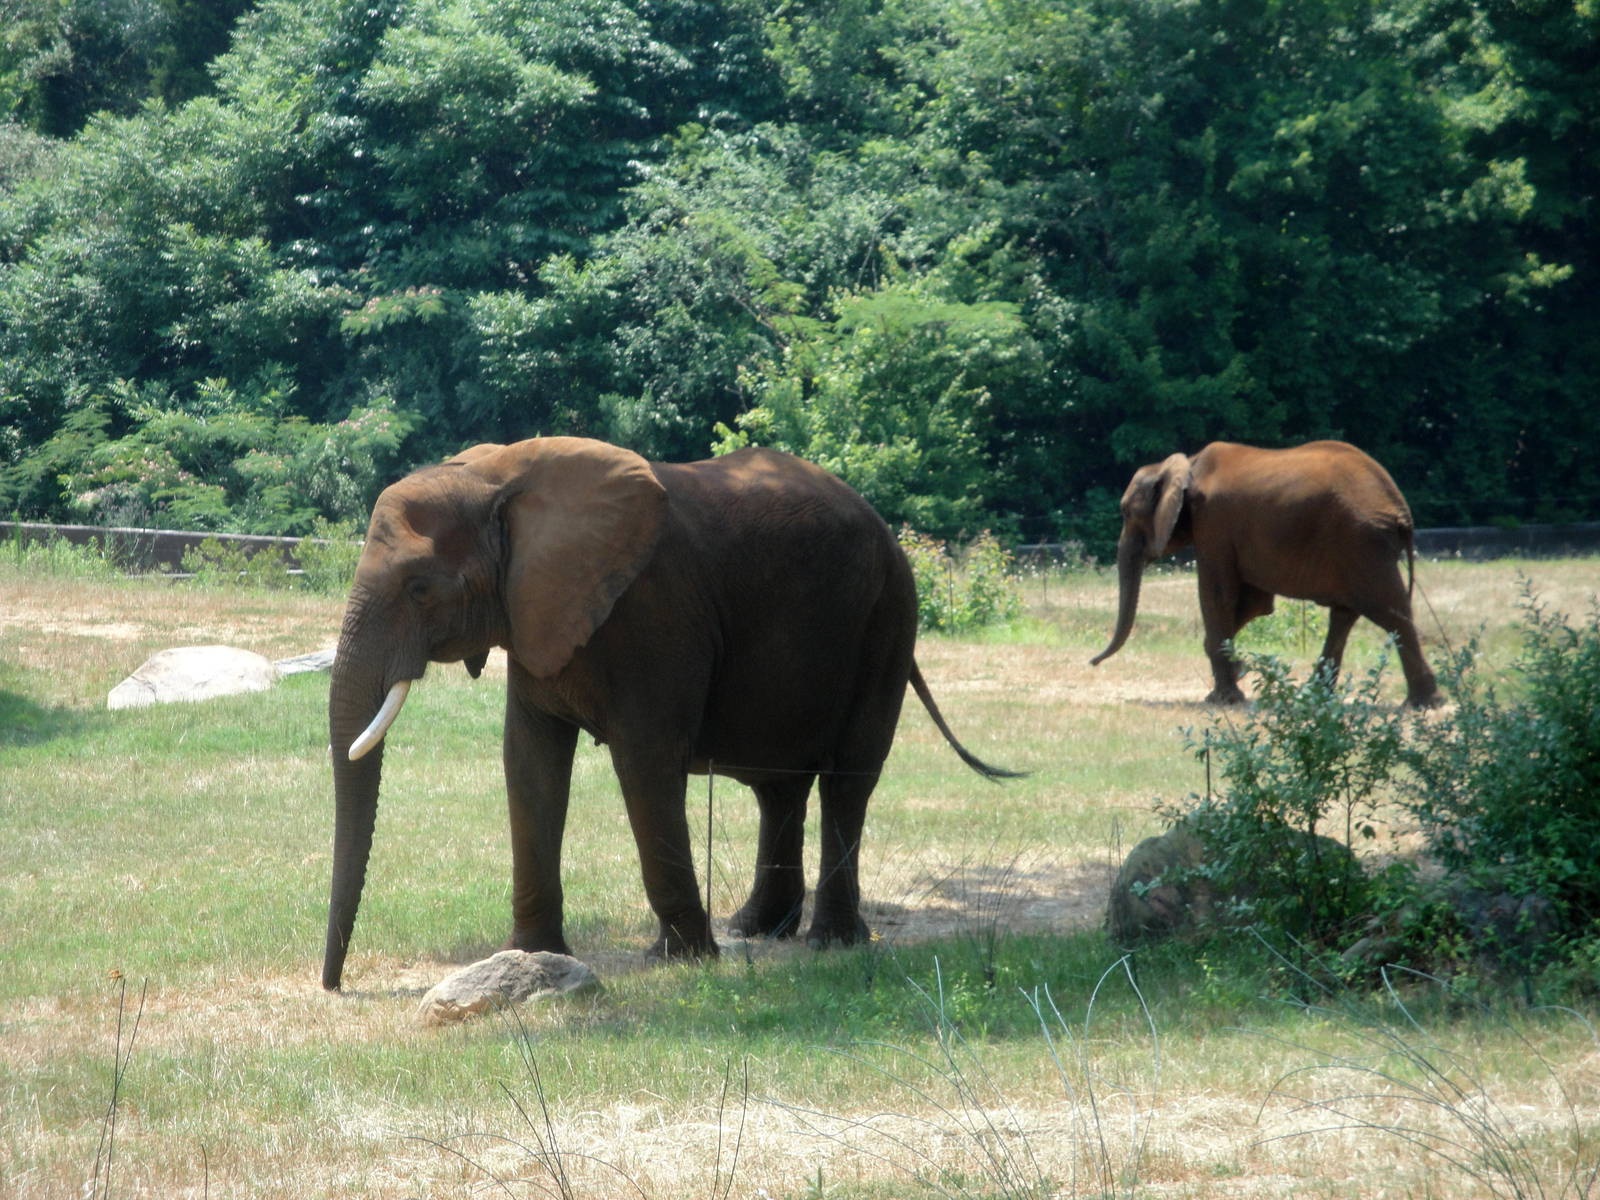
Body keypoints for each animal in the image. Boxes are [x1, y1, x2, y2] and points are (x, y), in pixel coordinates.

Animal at [322, 436, 1017, 991]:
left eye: (419, 587)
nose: (335, 986)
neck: (499, 478)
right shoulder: (536, 613)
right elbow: (530, 761)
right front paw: (530, 955)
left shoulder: (652, 611)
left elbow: (646, 762)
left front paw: (680, 960)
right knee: (780, 789)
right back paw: (758, 929)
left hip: (888, 619)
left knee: (849, 778)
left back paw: (830, 942)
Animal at [1090, 440, 1441, 708]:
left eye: (1126, 512)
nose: (1093, 662)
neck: (1185, 464)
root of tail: (1399, 508)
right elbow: (1254, 604)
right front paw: (1236, 672)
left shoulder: (1214, 523)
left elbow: (1218, 595)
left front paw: (1223, 698)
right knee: (1345, 615)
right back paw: (1314, 697)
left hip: (1361, 542)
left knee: (1390, 612)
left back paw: (1421, 704)